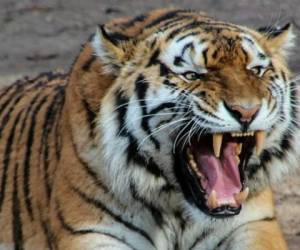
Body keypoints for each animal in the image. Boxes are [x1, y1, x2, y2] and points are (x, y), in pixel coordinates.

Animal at [0, 8, 298, 250]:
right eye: (191, 75)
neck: (179, 210)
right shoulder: (91, 230)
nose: (247, 111)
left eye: (256, 70)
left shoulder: (254, 223)